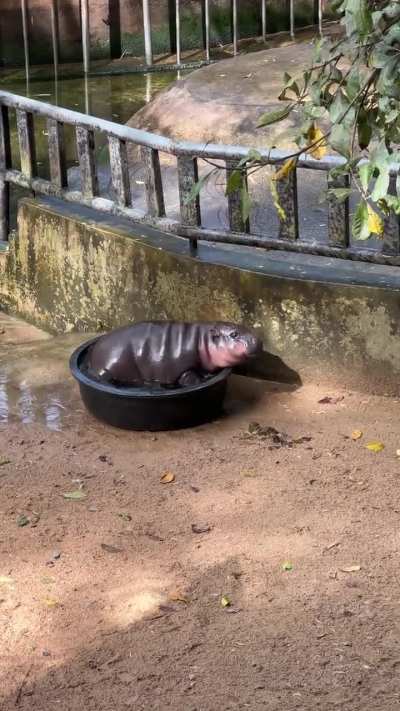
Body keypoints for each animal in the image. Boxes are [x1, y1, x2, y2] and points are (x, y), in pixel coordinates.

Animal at [86, 321, 262, 388]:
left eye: (243, 326)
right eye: (234, 334)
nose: (258, 340)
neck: (202, 340)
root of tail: (94, 354)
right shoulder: (183, 370)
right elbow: (190, 379)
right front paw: (200, 380)